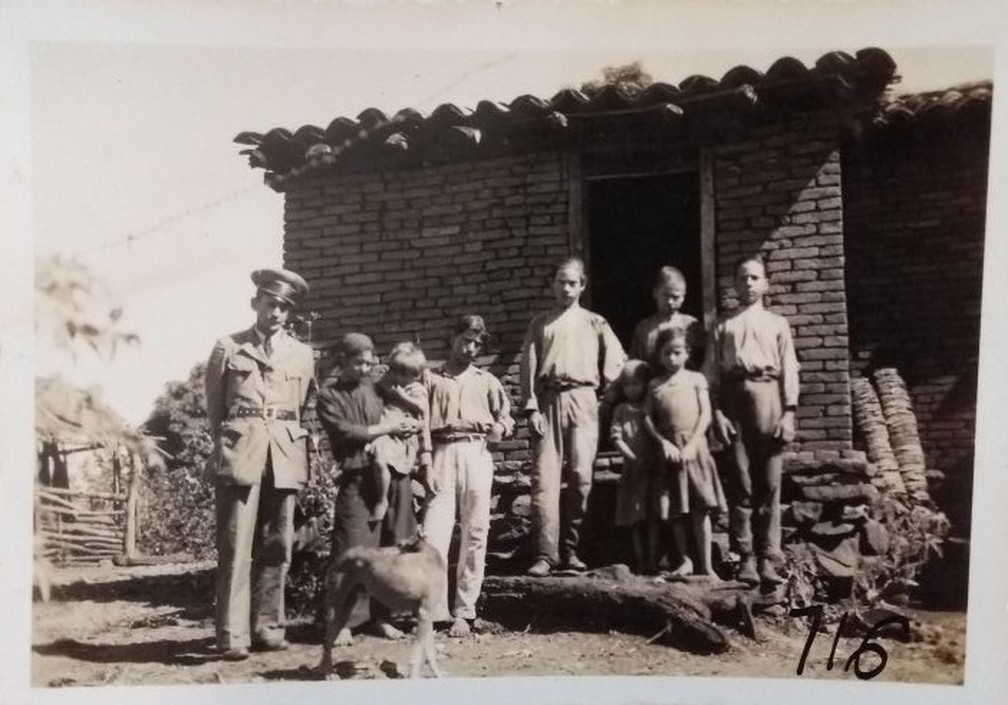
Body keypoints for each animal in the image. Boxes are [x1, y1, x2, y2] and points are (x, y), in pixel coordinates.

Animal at [316, 536, 447, 677]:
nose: (398, 544)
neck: (430, 556)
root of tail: (342, 555)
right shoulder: (424, 613)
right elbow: (417, 655)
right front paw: (414, 676)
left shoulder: (427, 615)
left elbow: (430, 651)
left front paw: (437, 673)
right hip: (337, 608)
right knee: (327, 641)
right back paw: (328, 672)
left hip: (346, 608)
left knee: (328, 640)